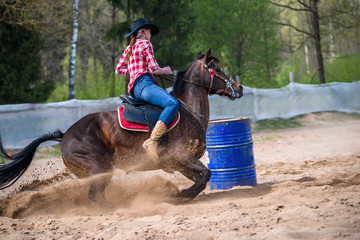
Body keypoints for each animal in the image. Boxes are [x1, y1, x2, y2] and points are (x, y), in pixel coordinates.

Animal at [0, 48, 243, 202]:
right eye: (216, 70)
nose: (239, 88)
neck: (188, 111)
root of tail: (65, 135)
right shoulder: (181, 155)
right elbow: (206, 175)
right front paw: (179, 195)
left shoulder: (181, 162)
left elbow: (202, 178)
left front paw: (183, 193)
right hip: (100, 168)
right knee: (95, 196)